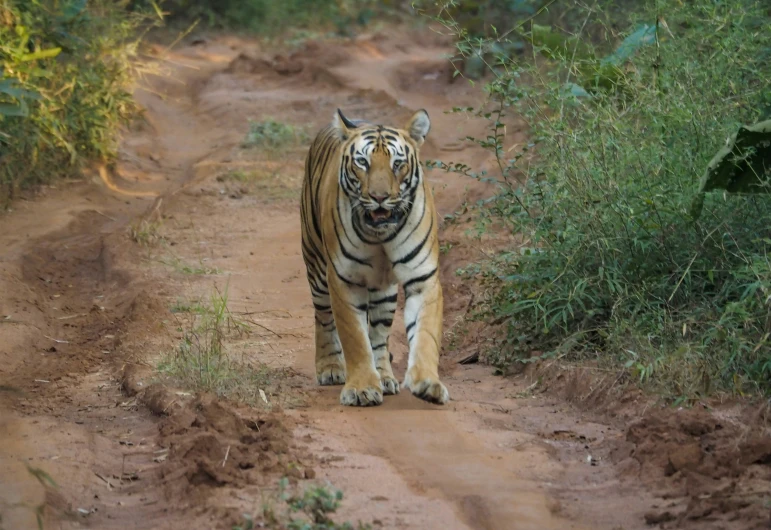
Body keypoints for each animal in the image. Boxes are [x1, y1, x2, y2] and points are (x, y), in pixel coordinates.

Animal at [298, 106, 450, 404]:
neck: (381, 235)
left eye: (397, 164)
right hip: (316, 268)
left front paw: (427, 383)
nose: (380, 197)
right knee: (323, 318)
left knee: (379, 334)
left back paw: (385, 377)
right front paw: (362, 389)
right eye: (362, 163)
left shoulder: (423, 278)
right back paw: (330, 368)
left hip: (385, 292)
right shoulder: (344, 280)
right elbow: (355, 338)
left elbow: (425, 334)